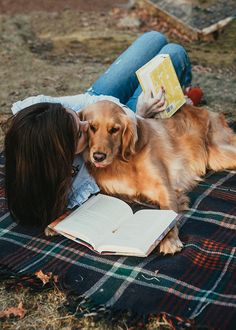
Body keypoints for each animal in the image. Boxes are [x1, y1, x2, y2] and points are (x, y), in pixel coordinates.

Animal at [79, 101, 236, 255]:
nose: (98, 157)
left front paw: (169, 240)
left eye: (114, 130)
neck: (123, 161)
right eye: (92, 127)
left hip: (218, 154)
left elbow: (166, 214)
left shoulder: (164, 188)